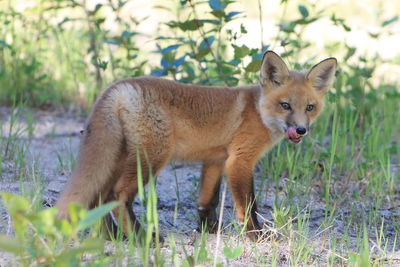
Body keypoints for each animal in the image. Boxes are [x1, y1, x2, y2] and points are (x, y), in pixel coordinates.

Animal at [55, 51, 338, 242]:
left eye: (310, 107)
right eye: (285, 105)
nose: (300, 130)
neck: (258, 112)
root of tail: (118, 86)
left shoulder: (215, 160)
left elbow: (207, 200)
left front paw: (210, 231)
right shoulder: (239, 161)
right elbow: (248, 205)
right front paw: (255, 235)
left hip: (118, 159)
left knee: (98, 199)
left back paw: (112, 236)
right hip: (152, 158)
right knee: (117, 196)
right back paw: (142, 238)